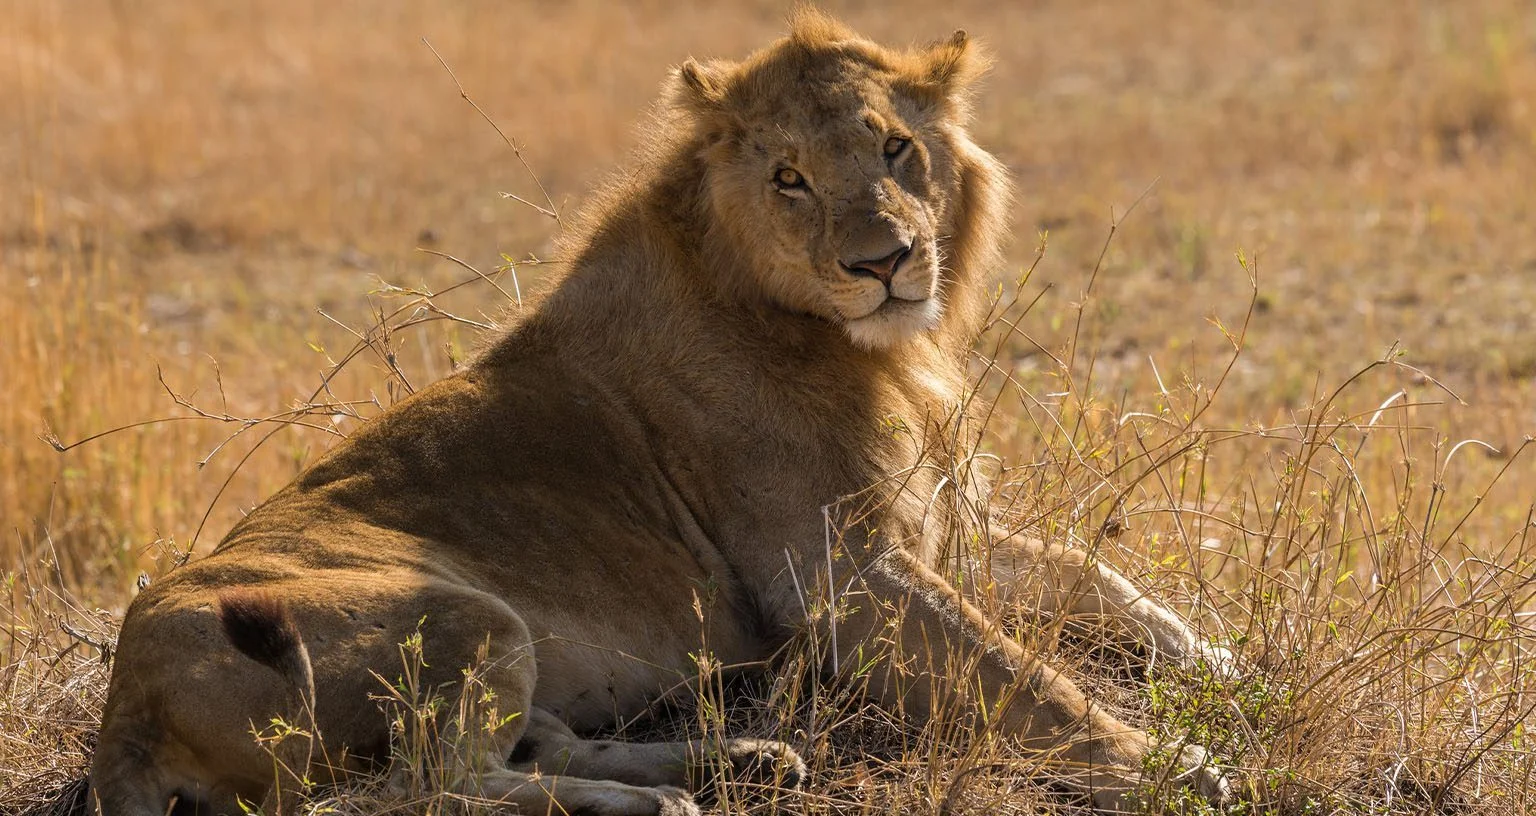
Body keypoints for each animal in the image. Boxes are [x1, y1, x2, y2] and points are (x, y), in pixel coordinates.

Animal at [89, 11, 1231, 815]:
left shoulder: (932, 529)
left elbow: (1091, 574)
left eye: (897, 150)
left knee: (532, 742)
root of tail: (122, 710)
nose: (885, 262)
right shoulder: (845, 580)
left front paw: (1207, 656)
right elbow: (1024, 676)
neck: (869, 349)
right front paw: (1171, 763)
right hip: (456, 611)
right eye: (789, 178)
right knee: (431, 784)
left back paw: (744, 760)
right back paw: (666, 797)